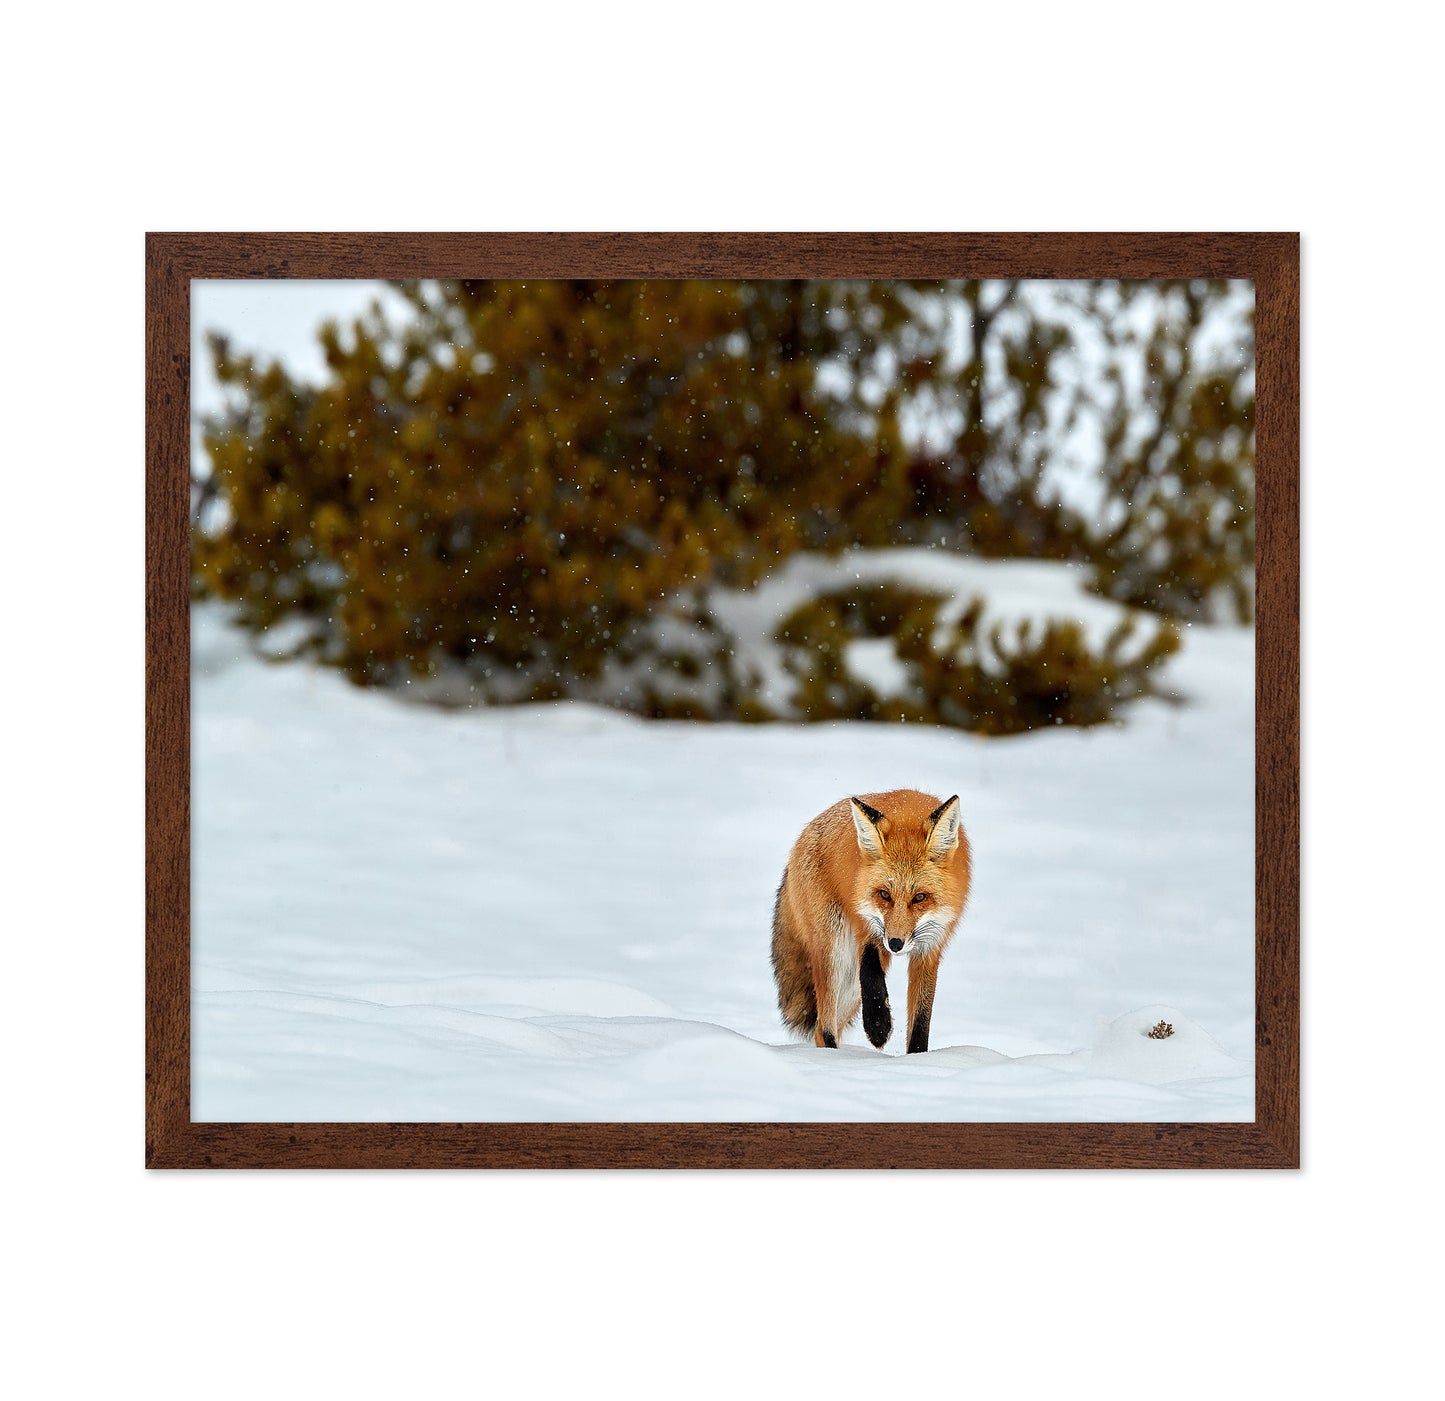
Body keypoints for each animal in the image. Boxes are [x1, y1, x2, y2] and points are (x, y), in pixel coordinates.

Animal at [771, 789, 970, 1053]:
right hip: (835, 952)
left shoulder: (930, 947)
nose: (895, 944)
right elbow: (870, 972)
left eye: (920, 897)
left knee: (821, 1029)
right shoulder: (868, 926)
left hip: (850, 987)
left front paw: (918, 1058)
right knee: (825, 1026)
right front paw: (878, 1025)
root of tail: (805, 832)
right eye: (884, 894)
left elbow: (921, 1020)